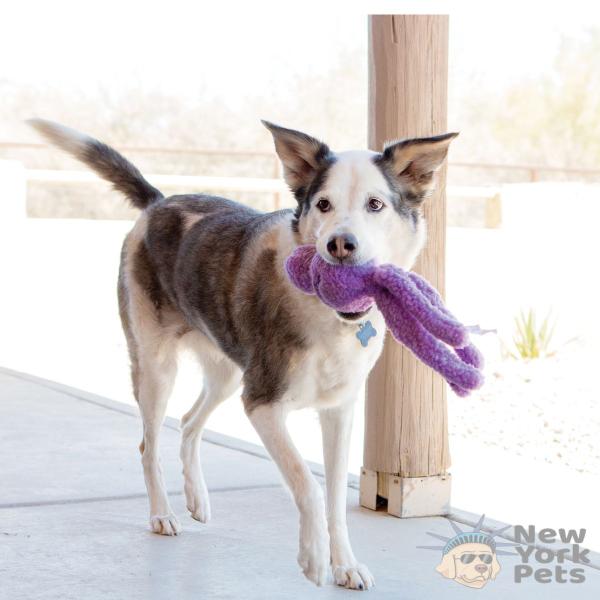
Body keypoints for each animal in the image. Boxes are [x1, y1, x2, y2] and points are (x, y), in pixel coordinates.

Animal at [29, 118, 454, 592]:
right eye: (323, 204)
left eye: (375, 204)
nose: (340, 245)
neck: (328, 316)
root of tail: (158, 204)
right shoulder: (262, 403)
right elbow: (307, 483)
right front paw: (313, 557)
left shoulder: (338, 411)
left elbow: (334, 495)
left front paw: (345, 563)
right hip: (157, 368)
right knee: (148, 443)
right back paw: (162, 514)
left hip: (227, 373)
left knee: (188, 422)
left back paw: (197, 498)